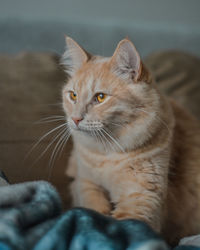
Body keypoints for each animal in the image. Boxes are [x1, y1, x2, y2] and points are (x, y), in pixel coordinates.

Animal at [61, 37, 200, 246]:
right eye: (73, 95)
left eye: (100, 97)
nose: (75, 119)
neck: (106, 154)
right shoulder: (84, 182)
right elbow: (92, 208)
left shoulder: (141, 197)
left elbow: (122, 224)